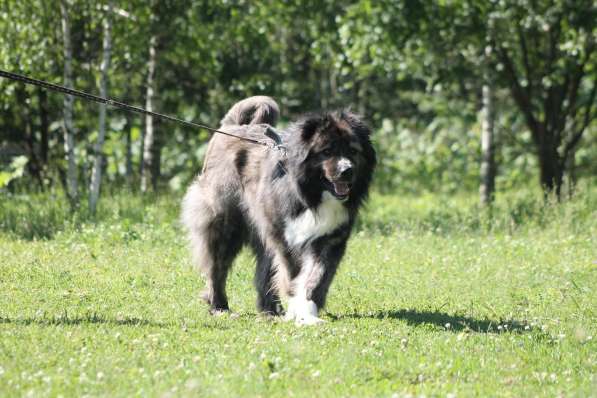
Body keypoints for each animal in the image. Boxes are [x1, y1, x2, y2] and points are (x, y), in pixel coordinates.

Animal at [182, 95, 374, 324]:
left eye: (353, 151)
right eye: (327, 151)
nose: (347, 170)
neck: (310, 196)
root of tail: (232, 126)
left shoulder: (329, 240)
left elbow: (316, 277)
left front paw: (308, 311)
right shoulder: (285, 240)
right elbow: (293, 275)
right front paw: (298, 311)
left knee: (263, 271)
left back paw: (270, 311)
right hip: (225, 222)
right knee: (216, 267)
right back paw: (220, 307)